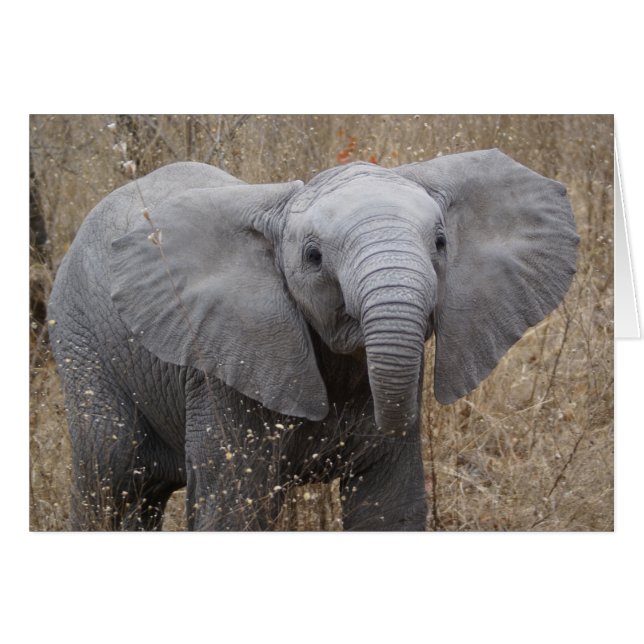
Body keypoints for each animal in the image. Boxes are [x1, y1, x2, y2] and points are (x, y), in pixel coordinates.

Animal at [47, 149, 578, 531]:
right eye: (313, 256)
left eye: (442, 243)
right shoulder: (221, 372)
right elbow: (237, 506)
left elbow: (389, 504)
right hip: (80, 343)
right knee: (109, 478)